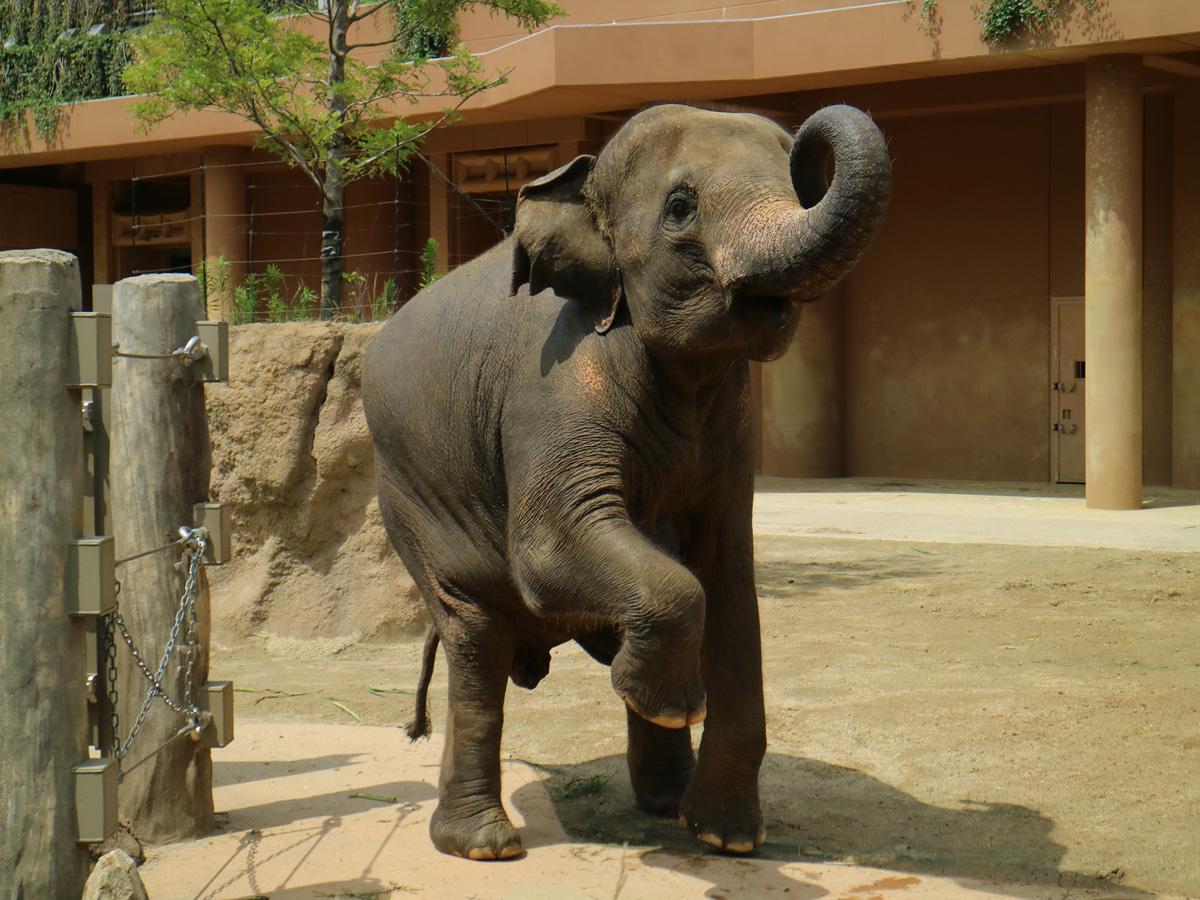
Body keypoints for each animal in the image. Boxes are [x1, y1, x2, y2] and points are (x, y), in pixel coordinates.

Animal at [362, 102, 892, 864]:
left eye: (796, 185)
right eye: (680, 206)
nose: (810, 138)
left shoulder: (732, 430)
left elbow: (728, 578)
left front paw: (728, 838)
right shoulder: (552, 381)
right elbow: (554, 545)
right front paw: (674, 710)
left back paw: (663, 803)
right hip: (410, 504)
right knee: (475, 641)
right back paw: (485, 844)